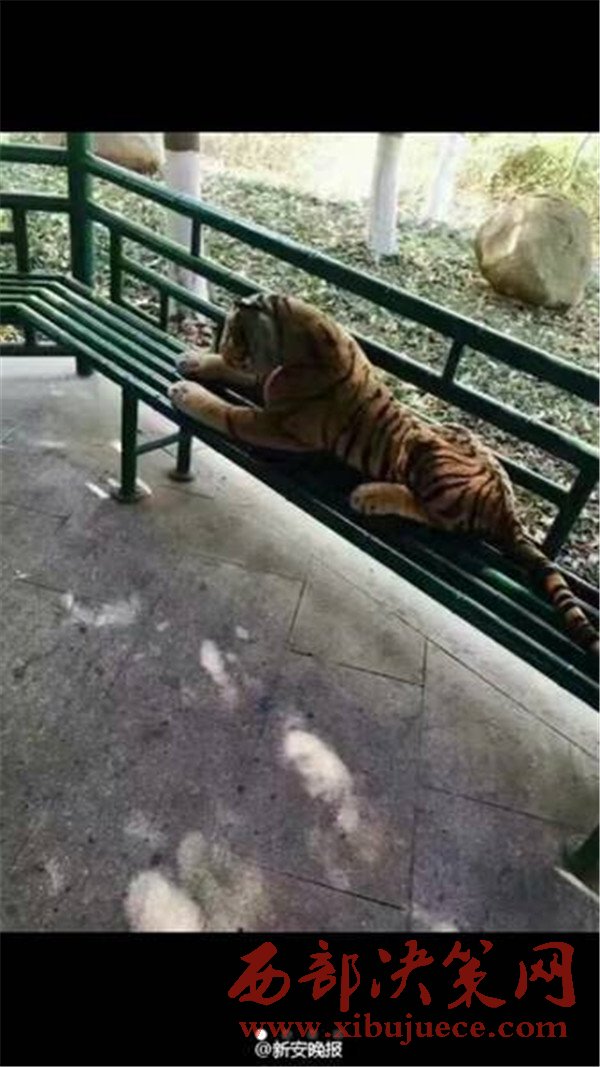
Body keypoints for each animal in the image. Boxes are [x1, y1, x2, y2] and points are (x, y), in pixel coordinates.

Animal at [168, 292, 599, 655]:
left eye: (233, 335)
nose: (226, 347)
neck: (293, 339)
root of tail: (510, 511)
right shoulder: (265, 383)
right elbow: (239, 376)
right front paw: (195, 360)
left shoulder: (278, 425)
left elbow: (228, 413)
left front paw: (188, 392)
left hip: (430, 456)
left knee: (433, 514)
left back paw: (369, 495)